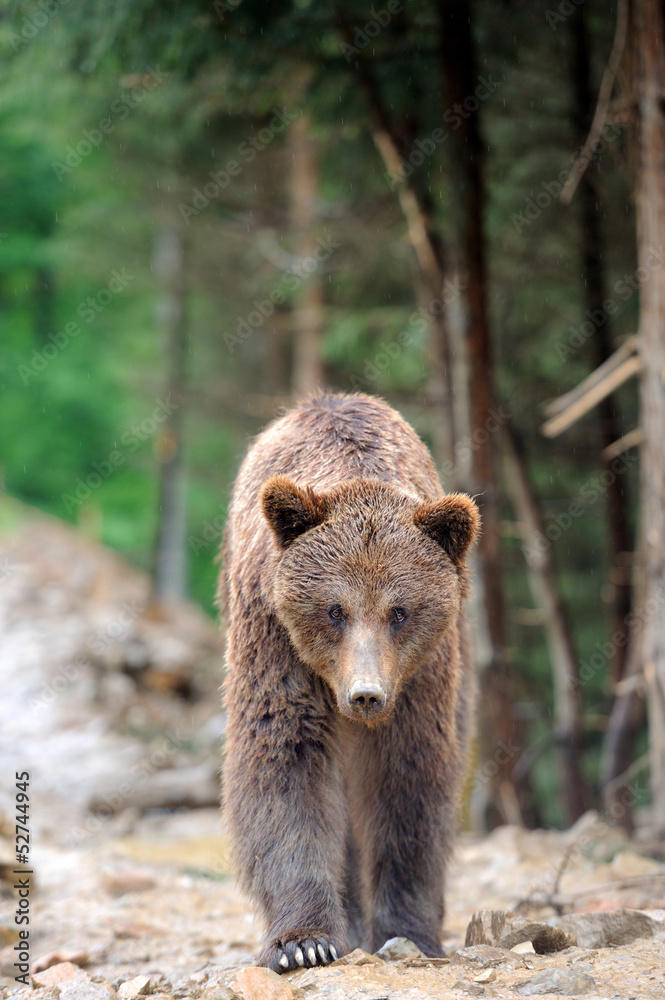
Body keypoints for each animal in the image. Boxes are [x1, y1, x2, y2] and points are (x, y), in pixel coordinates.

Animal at [219, 391, 479, 973]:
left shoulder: (421, 675)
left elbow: (408, 785)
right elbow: (285, 765)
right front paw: (304, 942)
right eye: (334, 609)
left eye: (399, 611)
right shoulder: (275, 640)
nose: (365, 694)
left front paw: (409, 931)